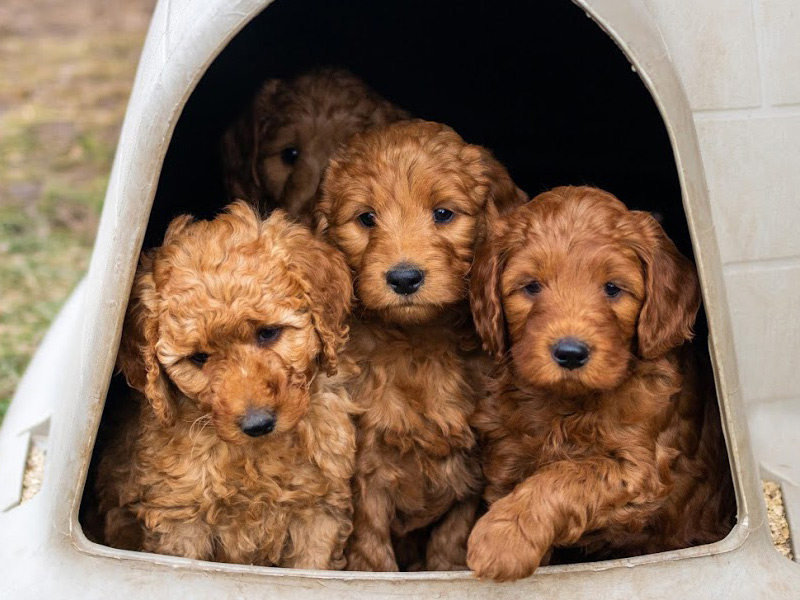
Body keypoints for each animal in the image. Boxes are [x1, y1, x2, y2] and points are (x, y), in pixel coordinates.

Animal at [96, 202, 356, 568]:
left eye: (268, 332)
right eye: (199, 357)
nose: (258, 424)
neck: (255, 457)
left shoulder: (320, 511)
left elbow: (312, 565)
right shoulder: (180, 518)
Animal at [316, 118, 528, 572]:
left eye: (443, 213)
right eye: (366, 218)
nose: (404, 277)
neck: (419, 346)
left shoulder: (472, 470)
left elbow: (451, 540)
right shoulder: (367, 472)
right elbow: (372, 548)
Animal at [466, 185, 736, 580]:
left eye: (612, 288)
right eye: (531, 287)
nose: (570, 353)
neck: (567, 407)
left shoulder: (639, 468)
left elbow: (566, 474)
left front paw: (503, 539)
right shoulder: (507, 456)